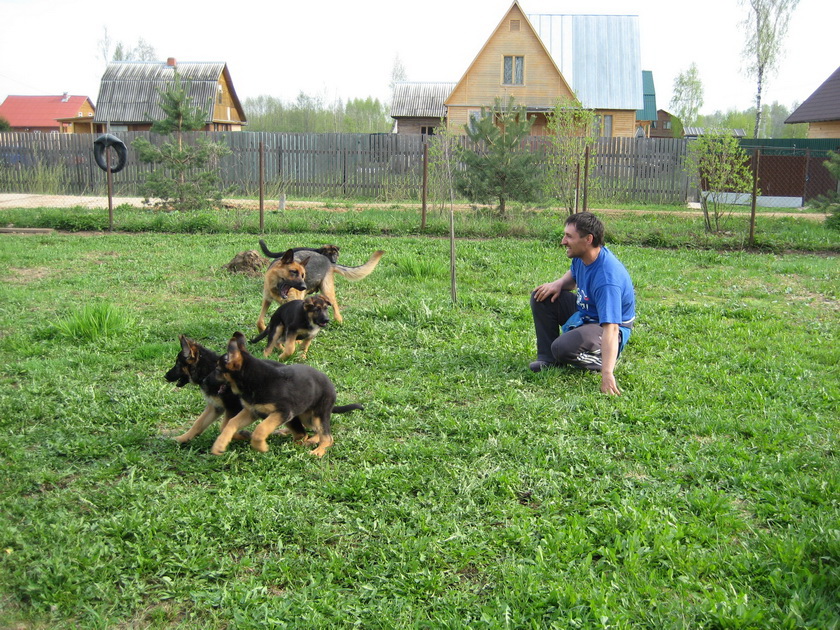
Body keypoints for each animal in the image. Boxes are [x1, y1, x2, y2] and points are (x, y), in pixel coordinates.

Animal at [211, 332, 363, 457]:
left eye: (217, 369)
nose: (206, 380)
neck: (253, 379)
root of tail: (331, 385)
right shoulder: (252, 411)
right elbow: (231, 423)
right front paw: (220, 444)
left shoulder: (282, 412)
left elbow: (261, 429)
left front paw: (260, 447)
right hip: (304, 417)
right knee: (307, 432)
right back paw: (290, 435)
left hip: (317, 415)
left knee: (326, 437)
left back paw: (318, 450)